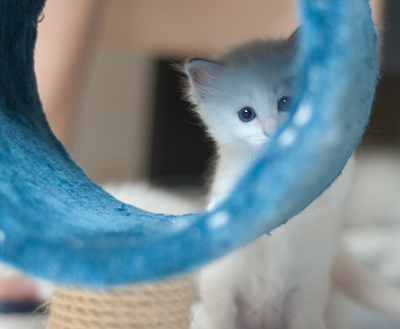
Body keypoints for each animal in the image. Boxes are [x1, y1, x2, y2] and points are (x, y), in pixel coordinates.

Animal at [184, 30, 400, 328]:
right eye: (246, 114)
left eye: (284, 103)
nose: (272, 130)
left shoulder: (337, 179)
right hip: (219, 300)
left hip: (309, 296)